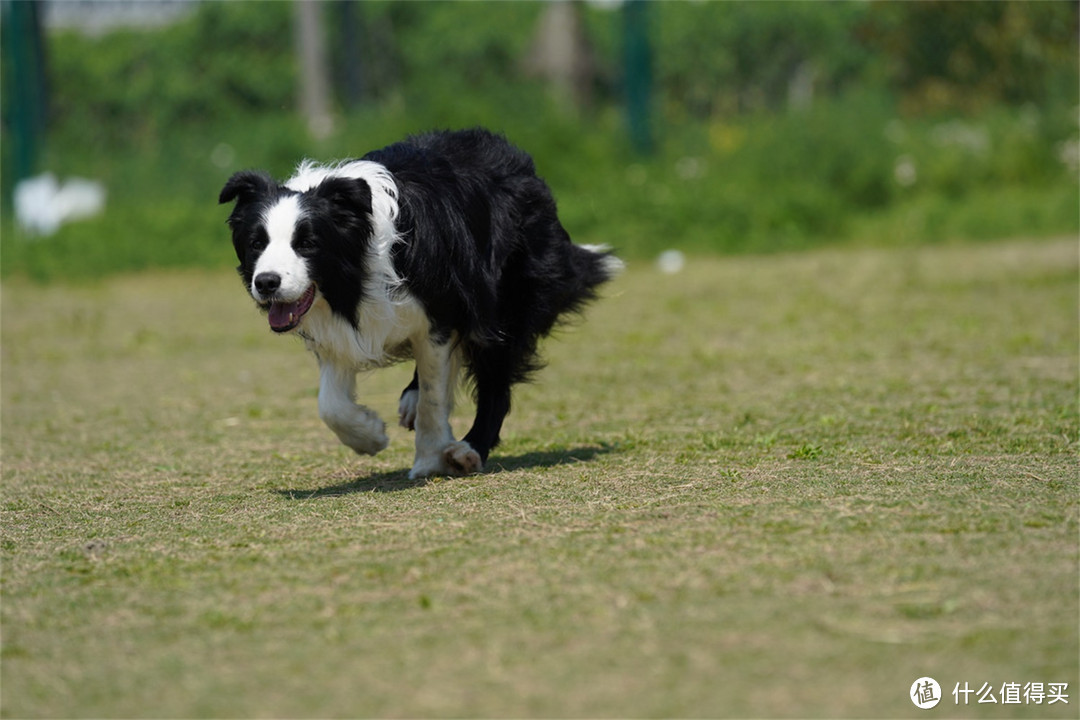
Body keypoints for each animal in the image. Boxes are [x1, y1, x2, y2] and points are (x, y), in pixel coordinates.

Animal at [219, 129, 622, 479]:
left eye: (307, 243)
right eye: (256, 243)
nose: (266, 282)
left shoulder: (439, 311)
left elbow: (434, 396)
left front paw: (429, 459)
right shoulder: (340, 323)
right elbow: (330, 403)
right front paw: (369, 435)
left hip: (505, 296)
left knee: (495, 378)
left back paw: (469, 449)